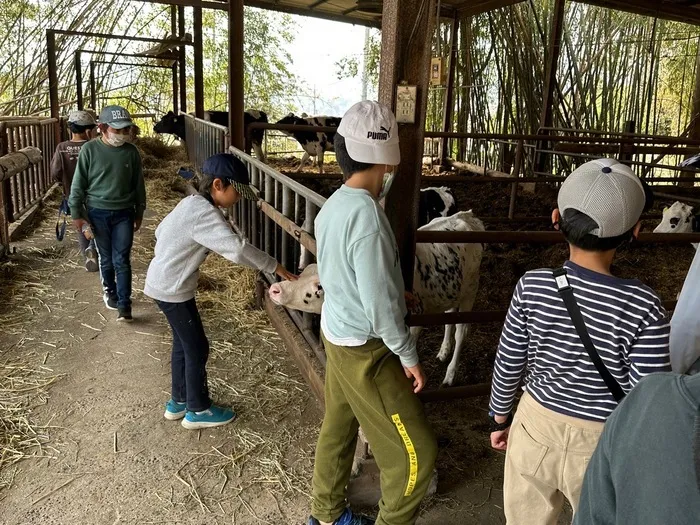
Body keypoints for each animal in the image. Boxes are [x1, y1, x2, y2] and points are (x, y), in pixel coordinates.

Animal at [270, 209, 486, 384]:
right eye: (306, 270)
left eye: (319, 286)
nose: (275, 288)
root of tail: (467, 215)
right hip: (452, 291)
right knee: (449, 320)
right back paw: (443, 351)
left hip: (471, 290)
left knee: (461, 331)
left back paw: (450, 375)